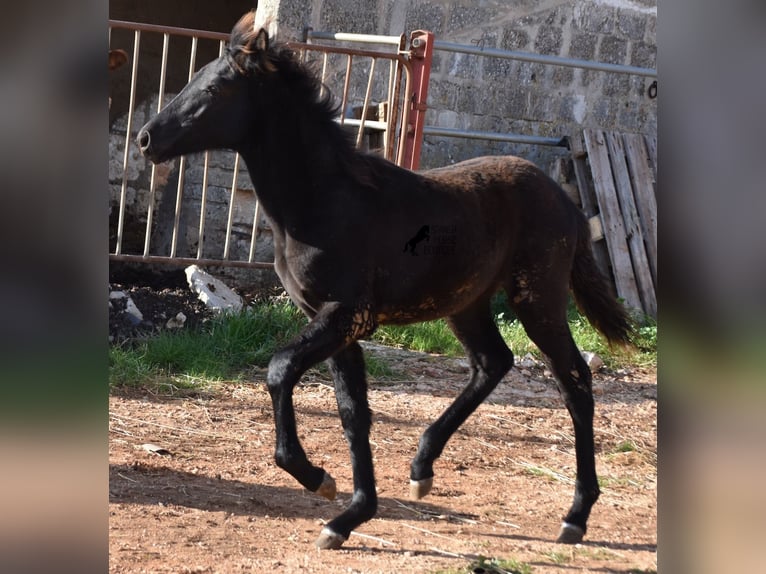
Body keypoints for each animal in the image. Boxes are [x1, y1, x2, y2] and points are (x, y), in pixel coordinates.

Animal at [138, 11, 636, 552]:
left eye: (216, 88)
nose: (146, 138)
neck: (323, 201)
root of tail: (566, 202)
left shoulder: (347, 314)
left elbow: (279, 370)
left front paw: (317, 479)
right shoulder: (334, 323)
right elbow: (353, 412)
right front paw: (348, 516)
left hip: (538, 299)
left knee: (574, 381)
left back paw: (576, 516)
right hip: (467, 303)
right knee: (493, 363)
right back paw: (422, 469)